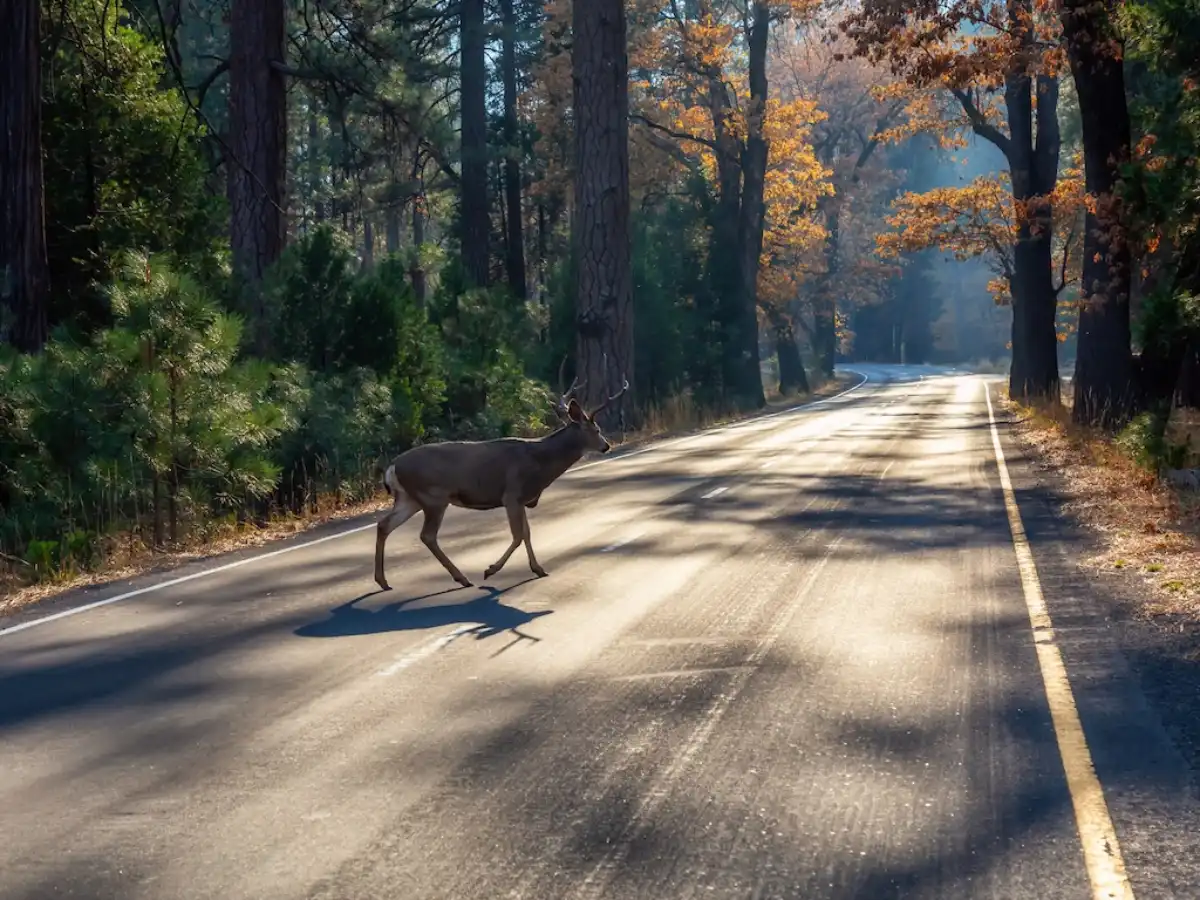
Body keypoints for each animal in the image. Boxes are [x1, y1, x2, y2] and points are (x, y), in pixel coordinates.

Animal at [373, 371, 629, 591]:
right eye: (596, 429)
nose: (606, 446)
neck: (540, 462)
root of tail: (393, 466)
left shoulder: (522, 497)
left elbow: (527, 533)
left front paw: (538, 568)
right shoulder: (512, 493)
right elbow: (518, 535)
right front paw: (491, 570)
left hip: (410, 498)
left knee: (384, 525)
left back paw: (383, 581)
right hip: (434, 496)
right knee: (427, 535)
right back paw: (462, 578)